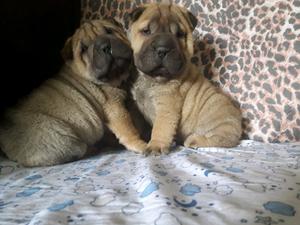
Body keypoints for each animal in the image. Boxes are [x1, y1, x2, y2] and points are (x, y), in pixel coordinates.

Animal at [0, 19, 148, 166]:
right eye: (84, 49)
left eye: (109, 31)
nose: (105, 46)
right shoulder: (115, 108)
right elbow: (129, 128)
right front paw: (141, 145)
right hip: (63, 140)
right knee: (78, 150)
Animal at [127, 3, 243, 155]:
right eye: (146, 31)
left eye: (180, 34)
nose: (162, 49)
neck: (151, 78)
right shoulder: (138, 108)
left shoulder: (166, 107)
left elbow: (160, 128)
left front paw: (155, 146)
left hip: (221, 121)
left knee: (219, 140)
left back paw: (193, 140)